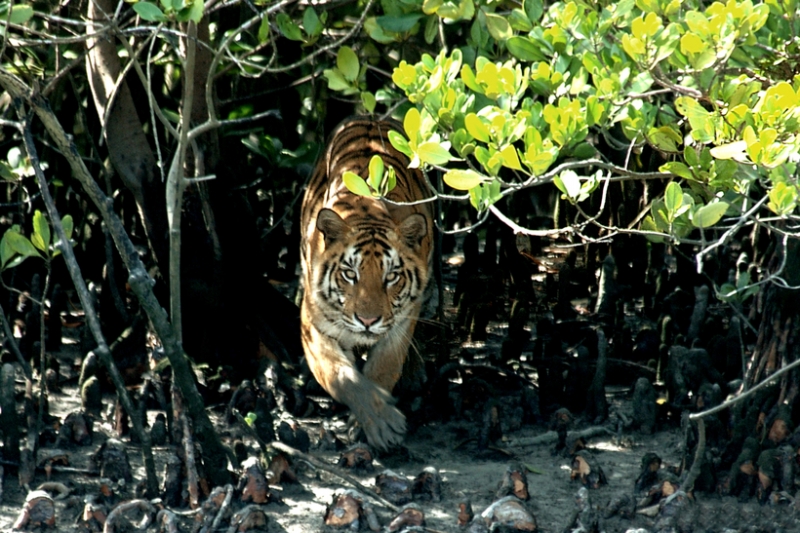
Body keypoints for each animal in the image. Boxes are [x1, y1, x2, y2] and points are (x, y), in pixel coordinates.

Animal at [300, 116, 434, 448]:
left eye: (391, 277)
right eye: (350, 273)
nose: (368, 320)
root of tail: (372, 116)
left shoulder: (401, 322)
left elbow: (384, 368)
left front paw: (379, 422)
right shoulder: (313, 322)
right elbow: (341, 376)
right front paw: (382, 422)